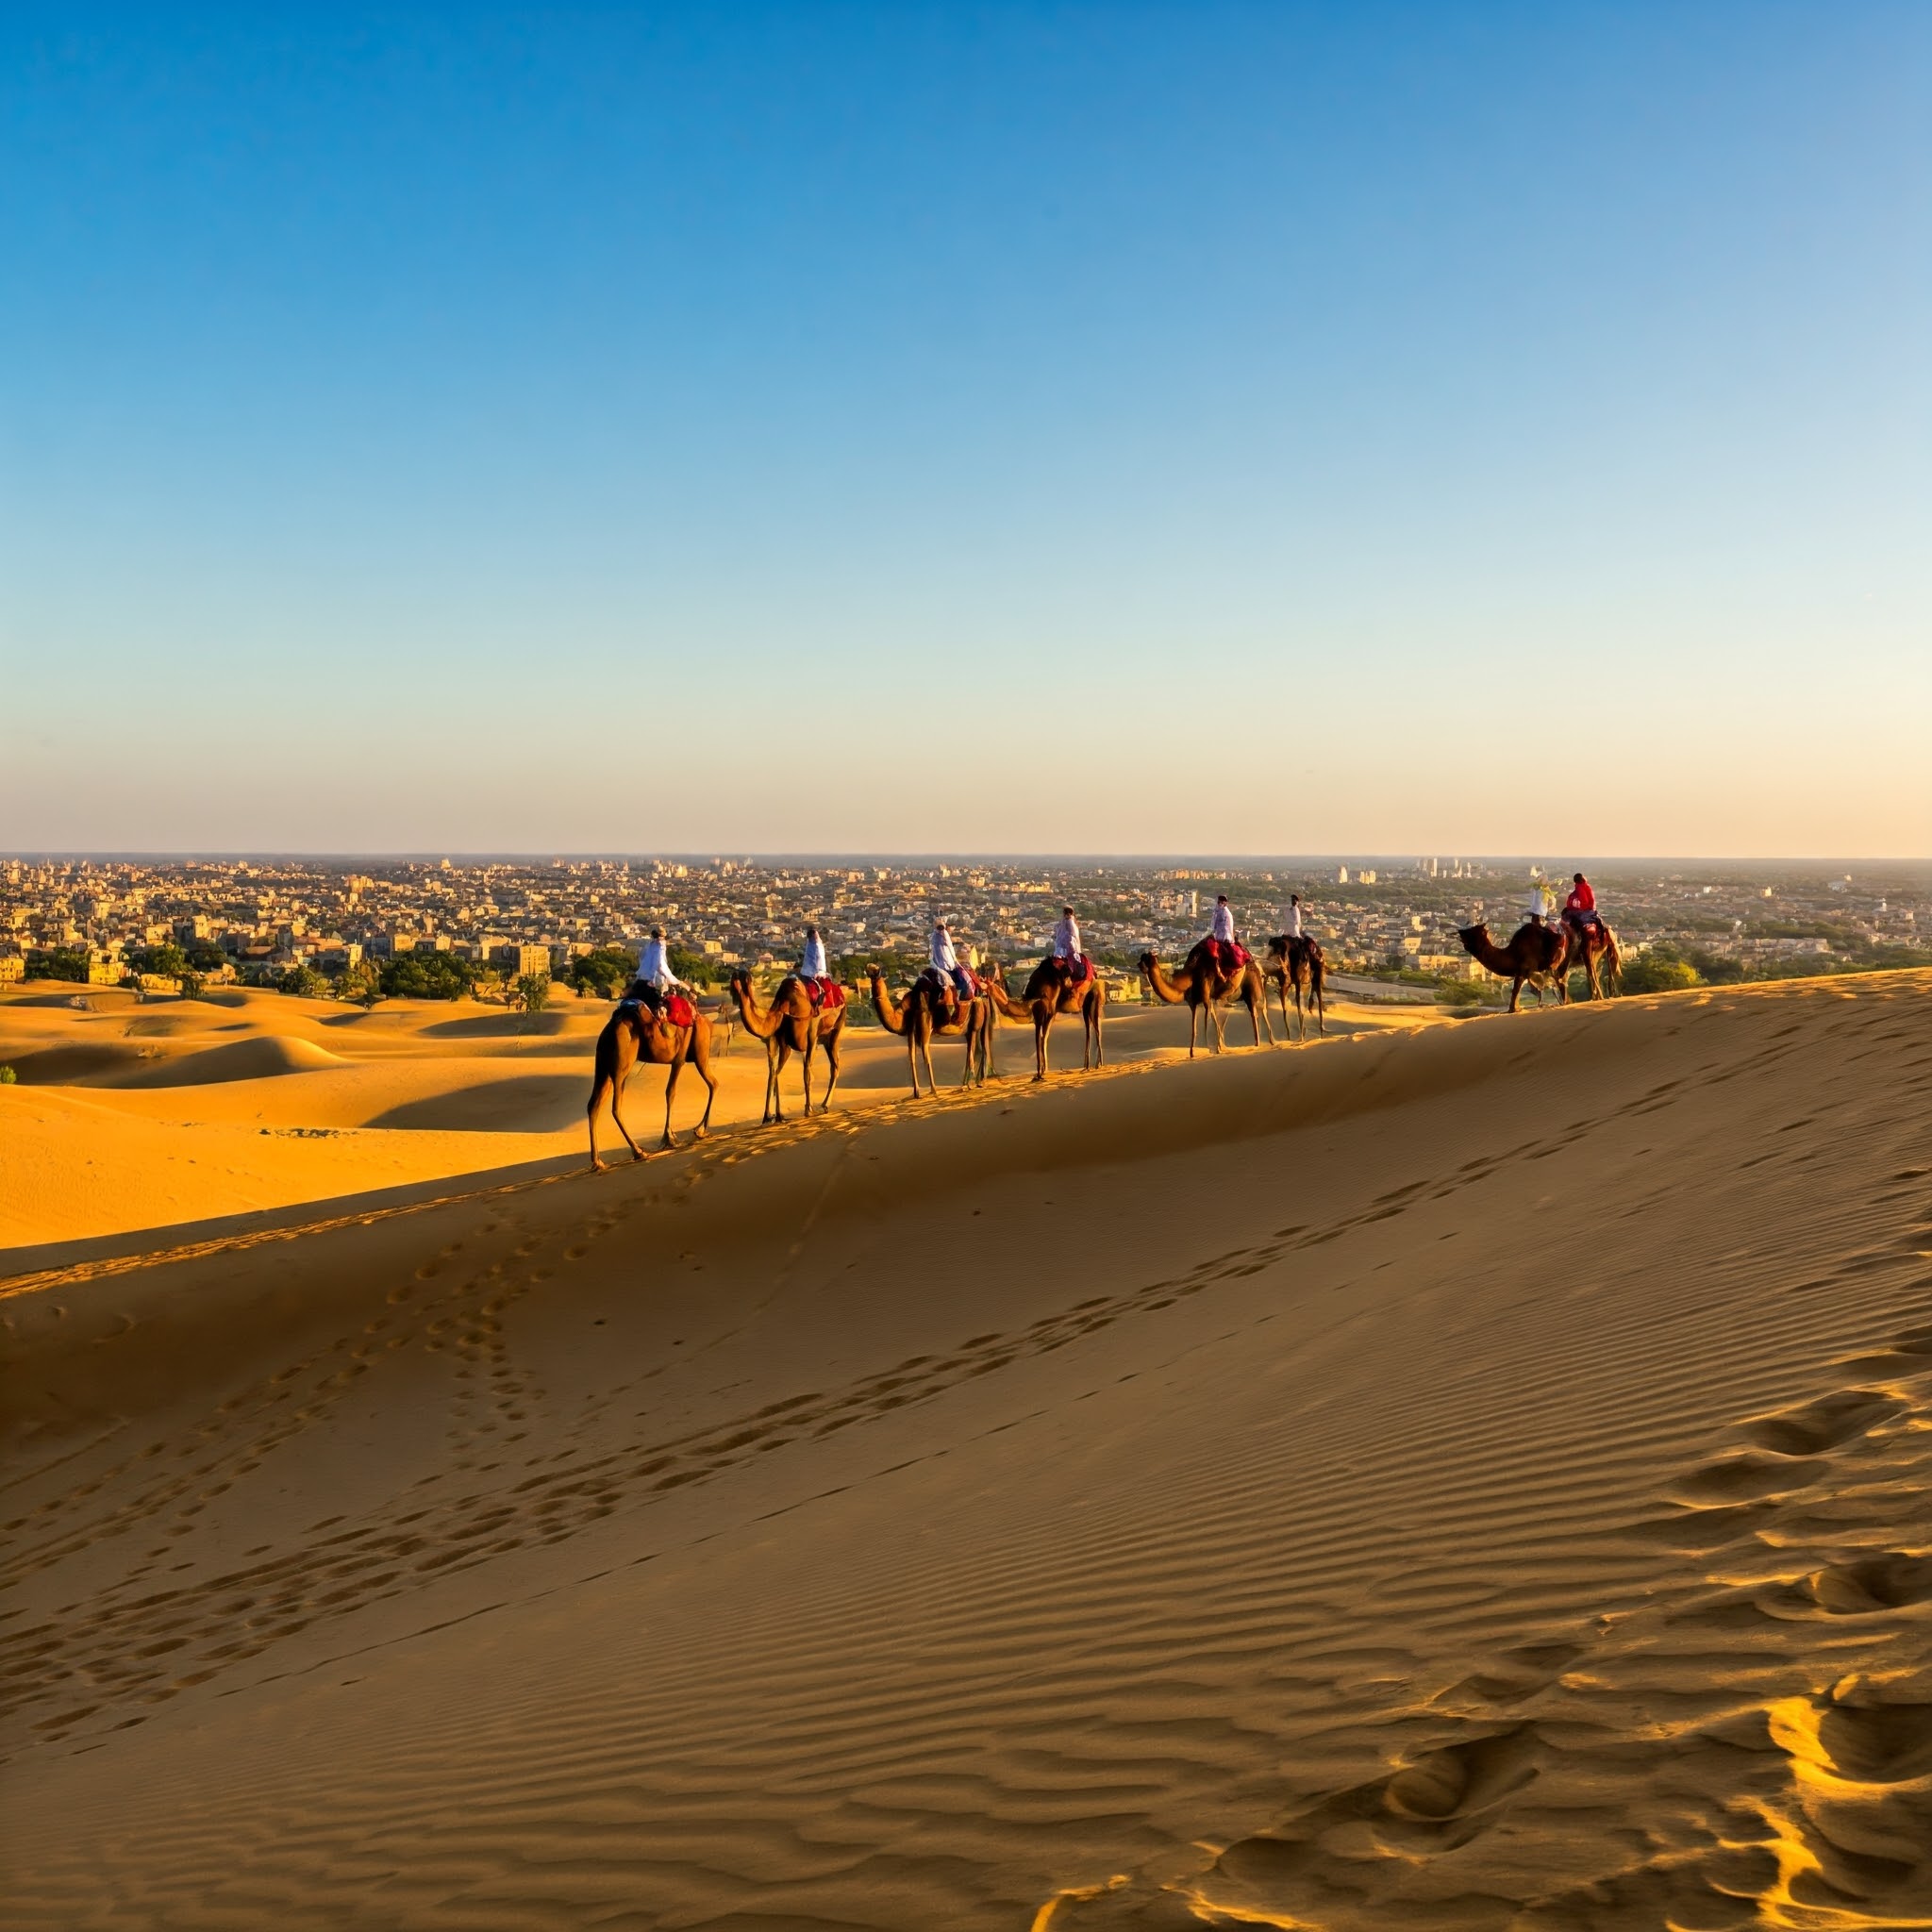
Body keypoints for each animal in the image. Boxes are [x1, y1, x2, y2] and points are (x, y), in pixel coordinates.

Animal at [873, 958, 996, 1097]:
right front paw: (916, 1093)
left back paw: (971, 1083)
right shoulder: (911, 1028)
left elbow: (926, 1054)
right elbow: (911, 1057)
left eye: (876, 970)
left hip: (976, 1019)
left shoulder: (925, 1018)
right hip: (970, 1027)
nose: (871, 969)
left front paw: (933, 1090)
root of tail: (983, 999)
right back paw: (972, 1083)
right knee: (978, 1048)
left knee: (976, 1049)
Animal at [989, 954, 1112, 1081]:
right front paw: (1041, 1072)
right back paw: (1087, 1066)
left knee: (1097, 1029)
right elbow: (1042, 1037)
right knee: (1089, 1029)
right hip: (1085, 1006)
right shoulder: (1039, 1014)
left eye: (994, 969)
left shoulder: (1048, 1012)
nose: (988, 978)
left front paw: (1041, 1073)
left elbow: (1043, 1037)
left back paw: (1098, 1065)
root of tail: (1097, 978)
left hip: (1095, 999)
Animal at [1136, 939, 1274, 1058]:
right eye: (1141, 958)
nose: (1139, 966)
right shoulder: (1193, 1002)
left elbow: (1206, 1021)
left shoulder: (1206, 996)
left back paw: (1263, 1043)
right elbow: (1195, 1027)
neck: (1190, 975)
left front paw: (1210, 1049)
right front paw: (1194, 1053)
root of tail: (1254, 961)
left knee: (1259, 1008)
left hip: (1253, 985)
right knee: (1254, 1011)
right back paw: (1263, 1042)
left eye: (1148, 960)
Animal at [1453, 915, 1623, 1012]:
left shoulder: (1524, 969)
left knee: (1589, 974)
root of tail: (1608, 930)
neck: (1513, 952)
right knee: (1589, 975)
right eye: (1467, 932)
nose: (1460, 933)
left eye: (1475, 932)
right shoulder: (1529, 972)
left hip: (1588, 951)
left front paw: (1513, 1009)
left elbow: (1516, 989)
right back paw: (1596, 998)